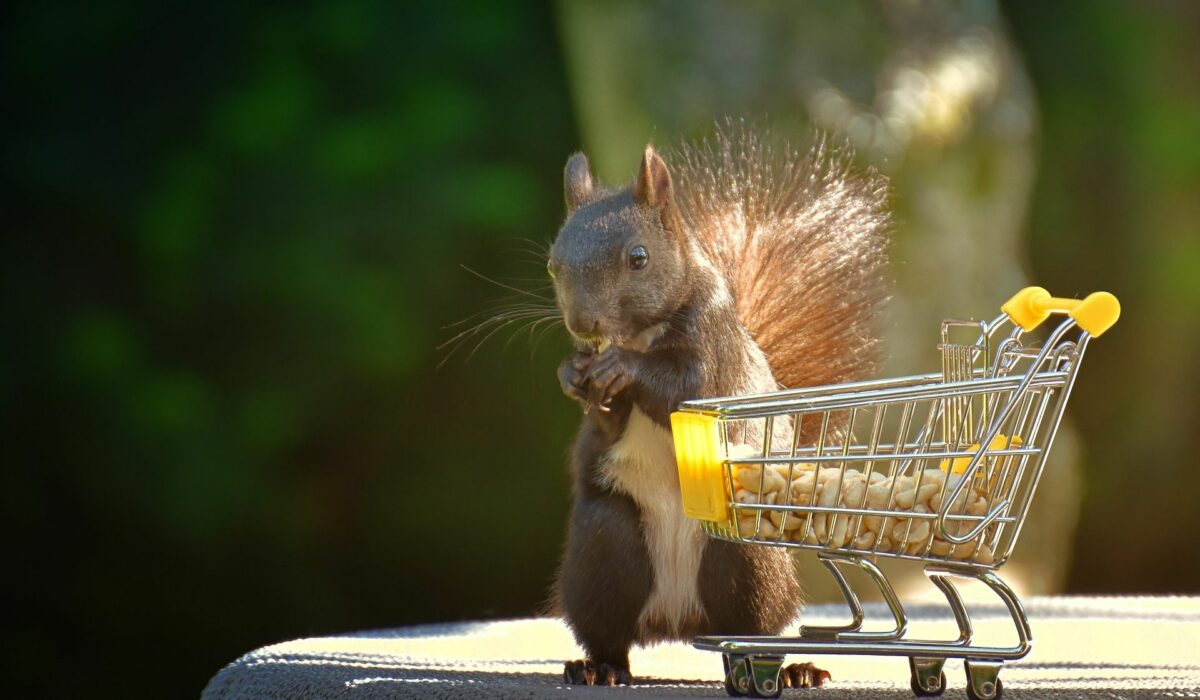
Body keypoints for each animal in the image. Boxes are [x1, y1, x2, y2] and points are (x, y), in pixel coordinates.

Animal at [549, 126, 888, 691]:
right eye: (553, 264)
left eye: (638, 257)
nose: (584, 324)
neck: (639, 335)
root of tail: (678, 619)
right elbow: (605, 423)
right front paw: (572, 375)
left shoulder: (715, 352)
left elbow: (684, 387)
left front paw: (624, 368)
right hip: (604, 548)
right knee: (610, 632)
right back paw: (598, 667)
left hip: (748, 558)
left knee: (750, 634)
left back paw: (788, 670)